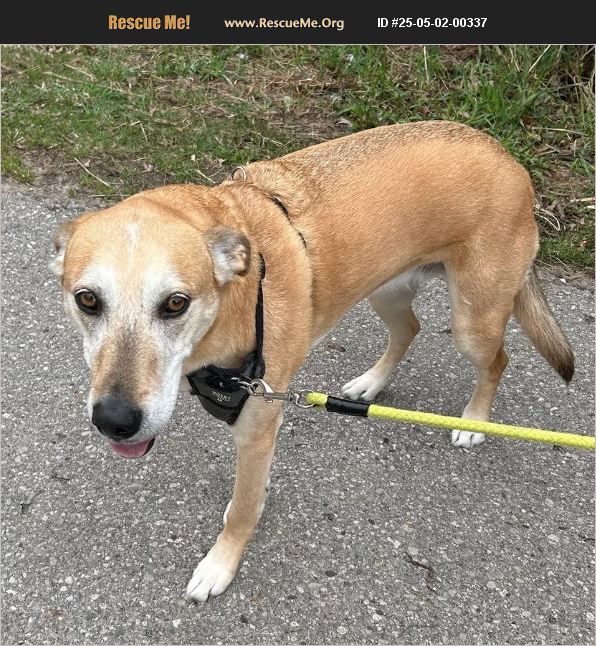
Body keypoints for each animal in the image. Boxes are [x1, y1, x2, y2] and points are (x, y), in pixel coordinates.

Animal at [51, 121, 574, 601]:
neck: (233, 306)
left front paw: (221, 564)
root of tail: (505, 155)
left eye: (176, 303)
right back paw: (369, 386)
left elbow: (241, 510)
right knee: (409, 329)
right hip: (384, 290)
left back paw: (474, 420)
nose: (115, 420)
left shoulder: (258, 423)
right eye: (87, 300)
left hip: (473, 320)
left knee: (497, 360)